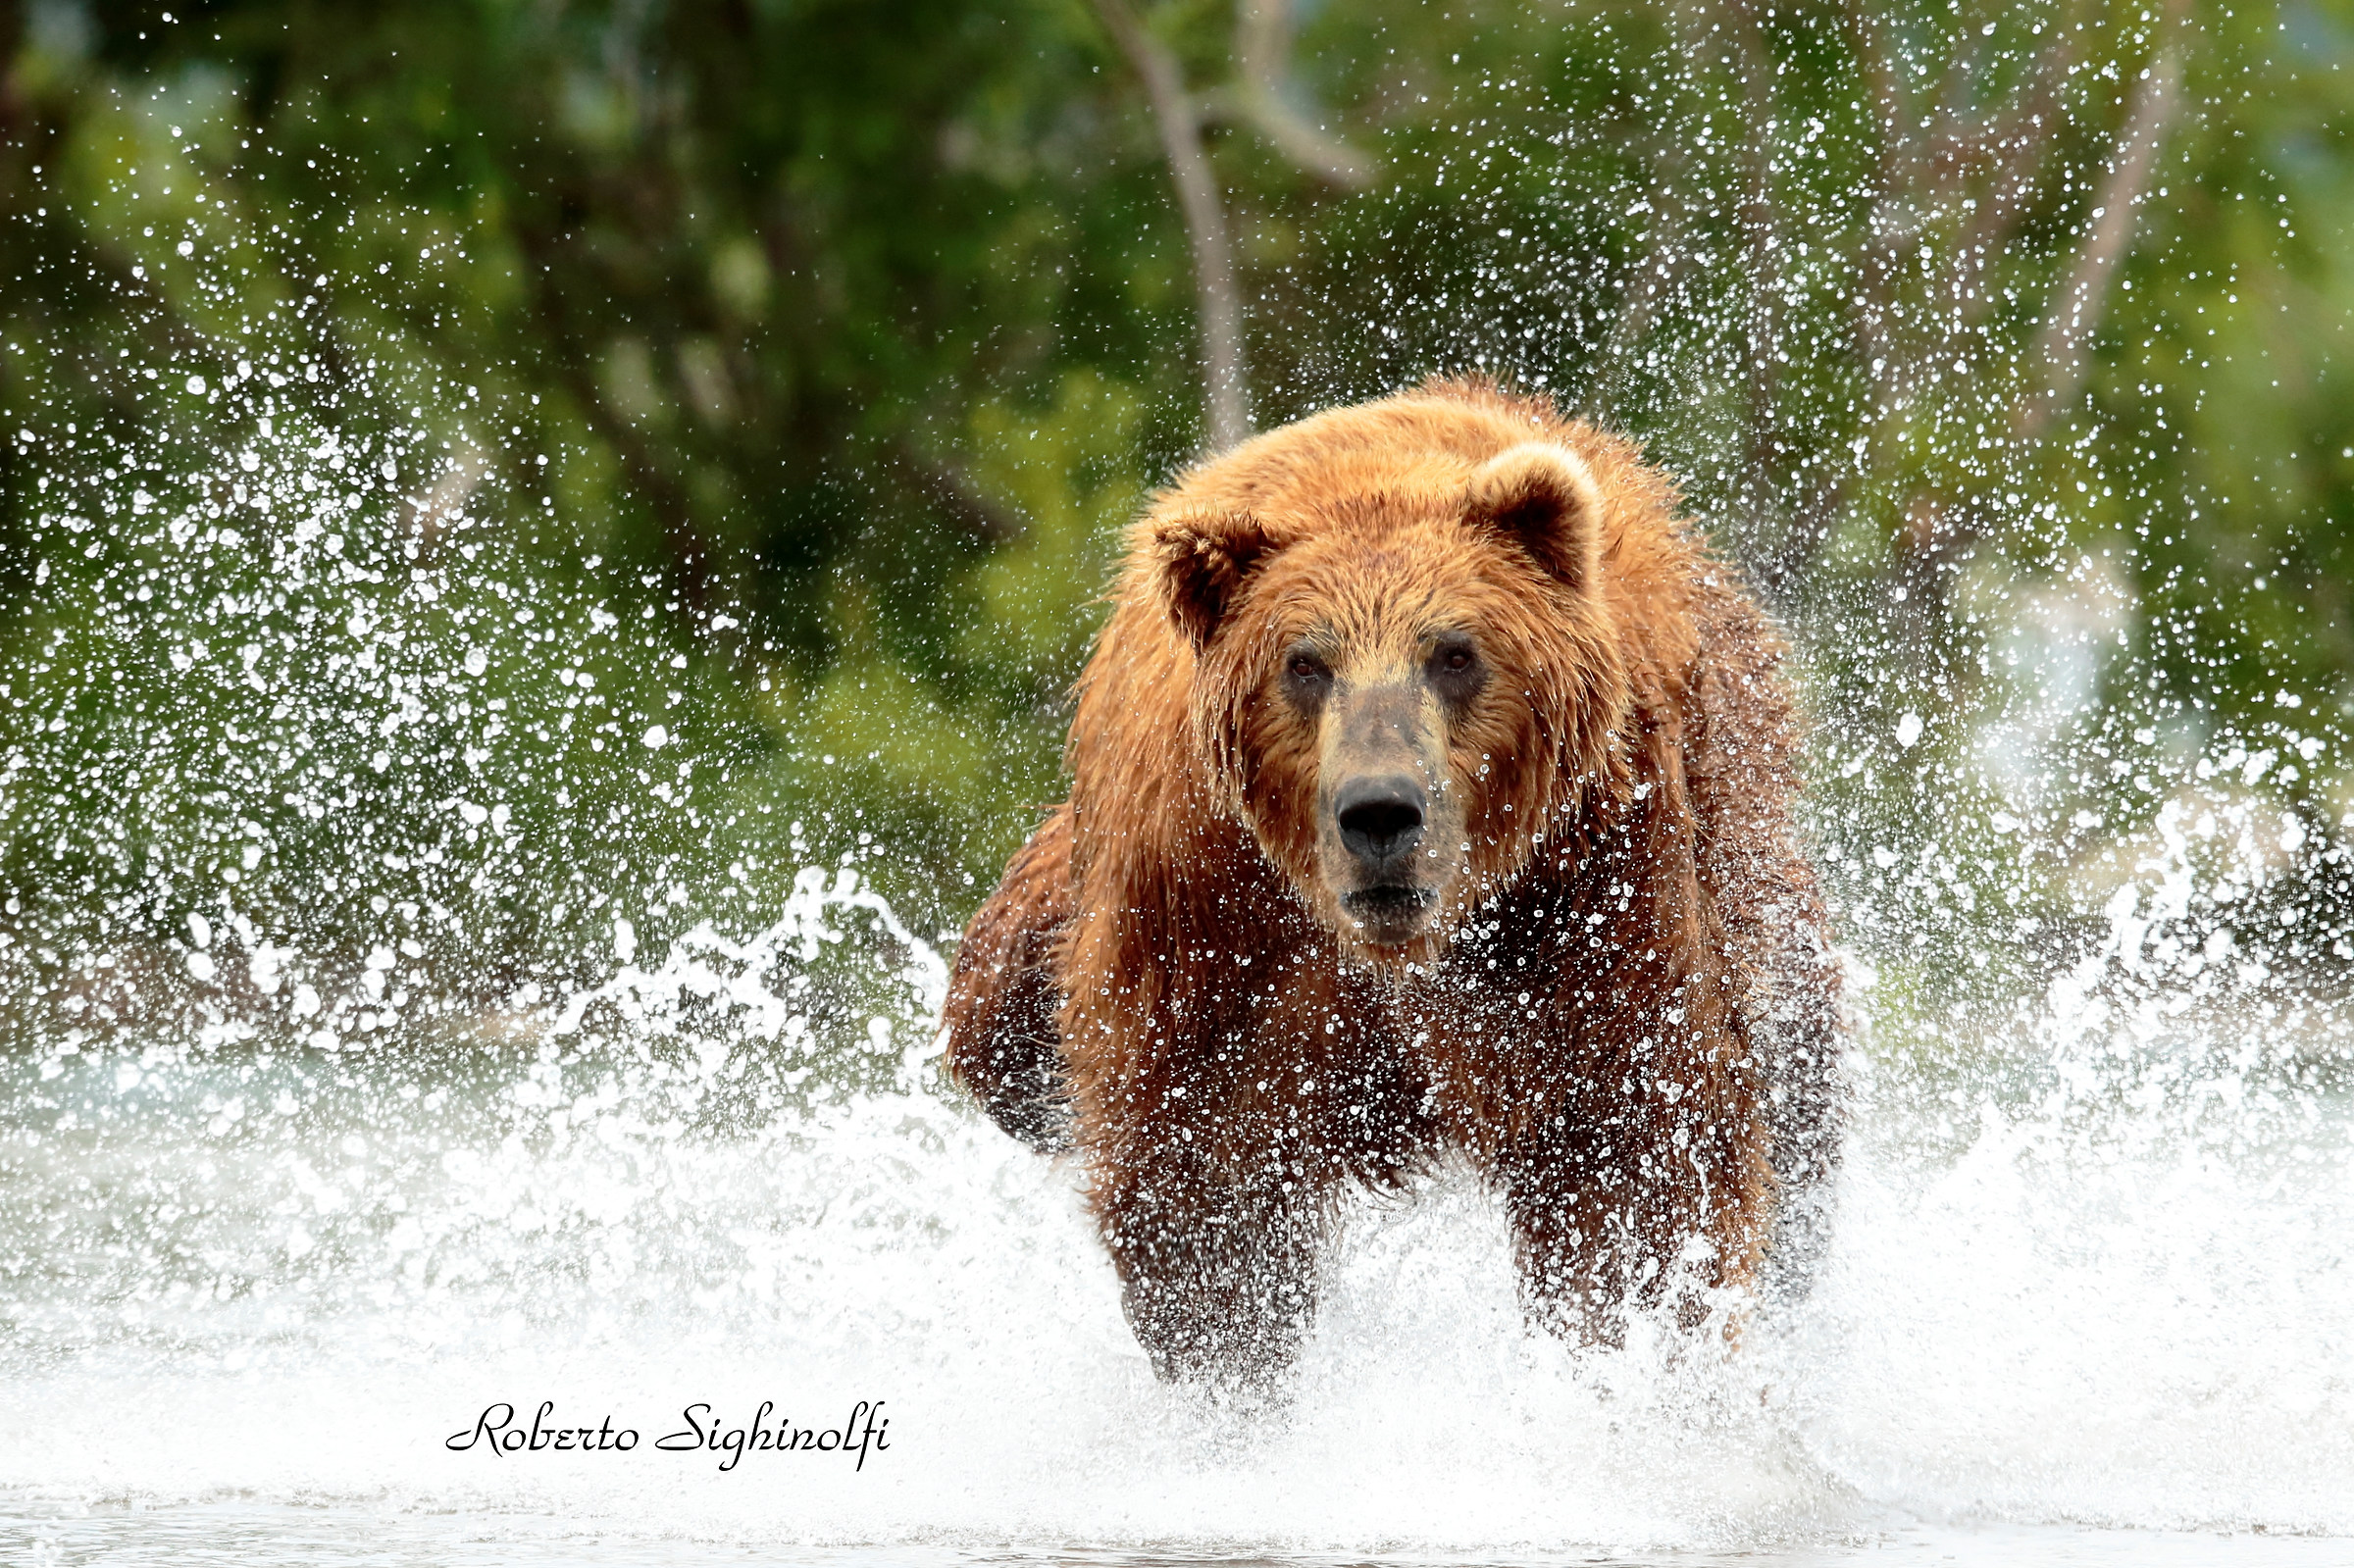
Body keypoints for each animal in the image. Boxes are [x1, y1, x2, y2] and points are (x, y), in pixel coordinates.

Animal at [942, 379, 1841, 1387]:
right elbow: (1202, 1178)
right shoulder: (1210, 922)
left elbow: (1628, 1146)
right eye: (1304, 662)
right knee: (995, 1024)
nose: (1380, 812)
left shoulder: (1587, 888)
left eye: (1455, 652)